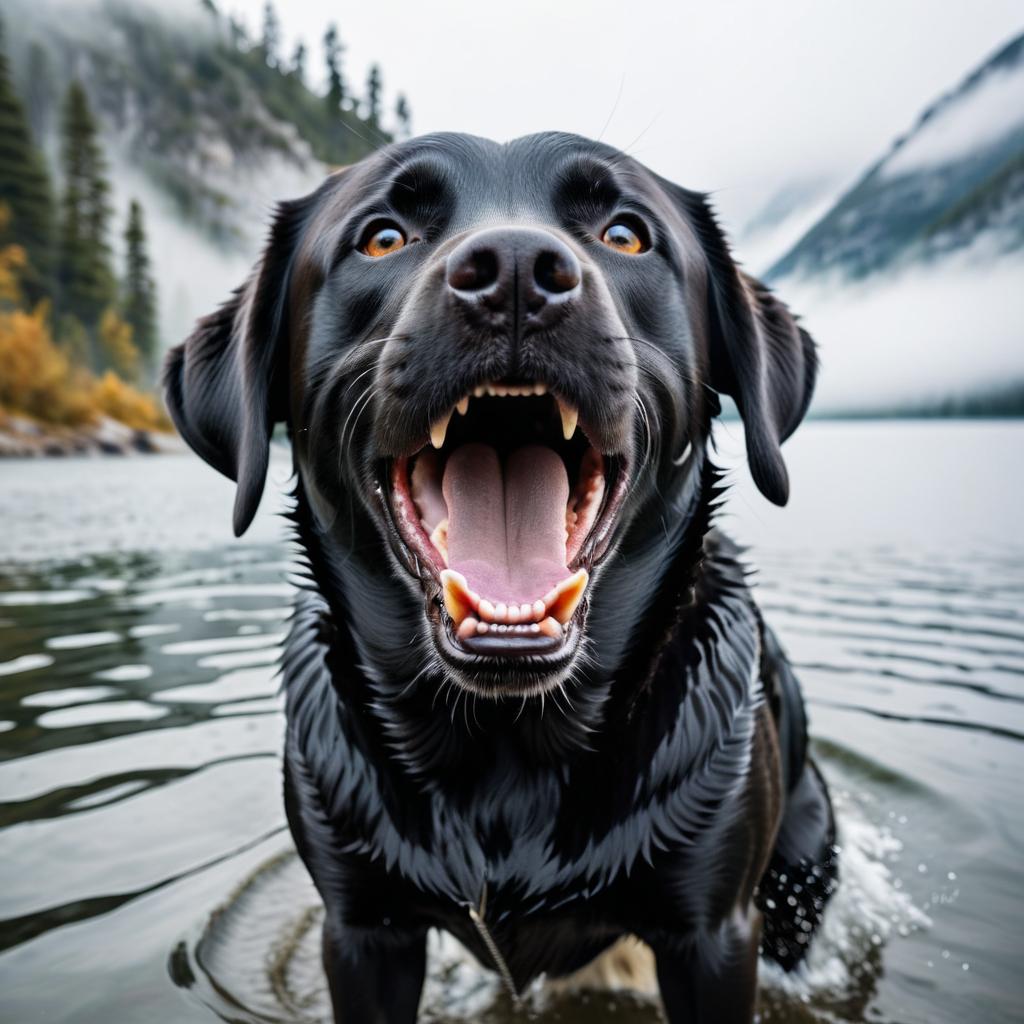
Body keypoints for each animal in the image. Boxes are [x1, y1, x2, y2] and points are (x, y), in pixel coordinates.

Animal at [163, 134, 835, 1024]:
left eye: (626, 235)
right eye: (382, 237)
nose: (516, 268)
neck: (504, 753)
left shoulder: (715, 932)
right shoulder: (361, 929)